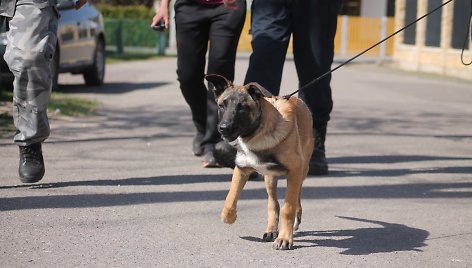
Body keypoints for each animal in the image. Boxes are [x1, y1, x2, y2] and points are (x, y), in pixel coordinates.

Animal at [206, 73, 314, 249]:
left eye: (242, 107)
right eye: (222, 105)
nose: (223, 128)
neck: (259, 135)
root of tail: (299, 100)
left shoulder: (295, 171)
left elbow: (288, 207)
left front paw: (285, 238)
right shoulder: (241, 169)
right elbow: (230, 197)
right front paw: (229, 217)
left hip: (302, 171)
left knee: (296, 196)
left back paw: (293, 221)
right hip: (269, 178)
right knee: (273, 203)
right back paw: (271, 230)